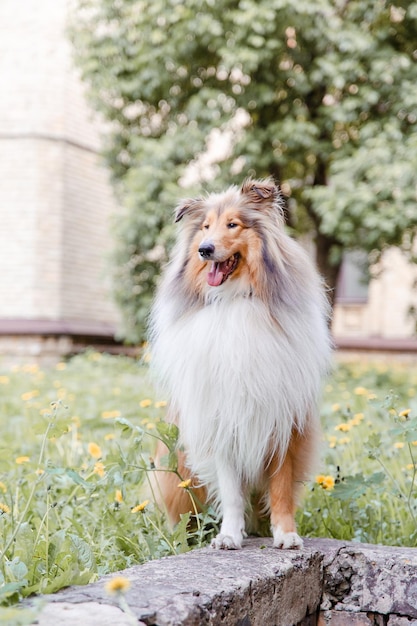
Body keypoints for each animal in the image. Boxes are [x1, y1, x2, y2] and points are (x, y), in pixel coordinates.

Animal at [148, 176, 330, 544]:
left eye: (233, 224)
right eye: (205, 227)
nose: (204, 249)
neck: (234, 300)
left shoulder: (283, 422)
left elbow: (281, 488)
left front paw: (285, 534)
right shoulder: (222, 420)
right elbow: (231, 492)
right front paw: (230, 536)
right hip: (179, 471)